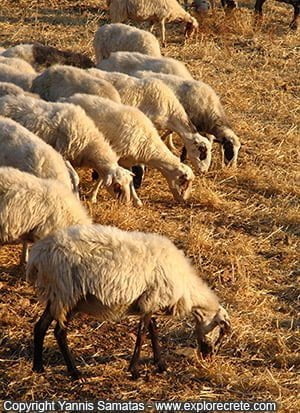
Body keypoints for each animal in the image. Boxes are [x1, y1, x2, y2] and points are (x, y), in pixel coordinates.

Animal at [0, 92, 139, 204]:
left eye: (128, 182)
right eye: (117, 185)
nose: (126, 203)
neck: (90, 143)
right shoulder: (63, 153)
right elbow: (75, 178)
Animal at [26, 224, 232, 378]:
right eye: (219, 330)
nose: (209, 356)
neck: (186, 289)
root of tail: (38, 255)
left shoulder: (148, 302)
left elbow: (153, 330)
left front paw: (160, 364)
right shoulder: (151, 300)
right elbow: (142, 334)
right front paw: (135, 370)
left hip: (56, 296)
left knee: (40, 326)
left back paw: (38, 367)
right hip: (67, 293)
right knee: (59, 332)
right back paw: (75, 372)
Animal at [60, 93, 195, 203]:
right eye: (184, 182)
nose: (184, 200)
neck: (148, 144)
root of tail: (67, 99)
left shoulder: (127, 161)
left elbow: (130, 180)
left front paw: (136, 201)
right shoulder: (113, 156)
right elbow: (103, 178)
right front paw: (92, 197)